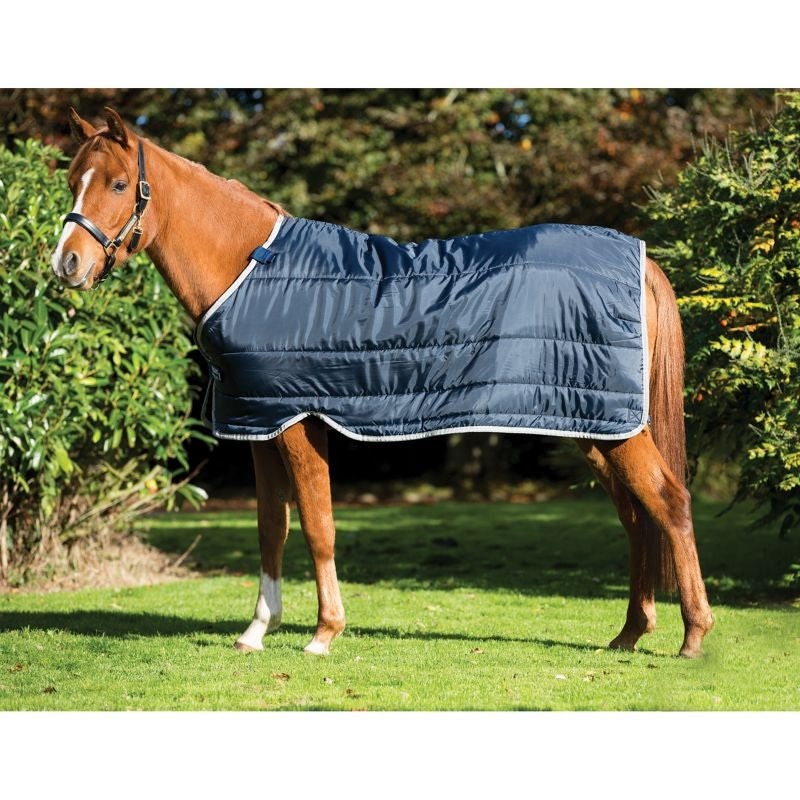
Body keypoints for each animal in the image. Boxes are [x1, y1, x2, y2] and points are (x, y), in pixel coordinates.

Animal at [50, 107, 714, 658]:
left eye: (117, 185)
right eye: (72, 180)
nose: (66, 264)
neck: (251, 269)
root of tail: (640, 261)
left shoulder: (298, 422)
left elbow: (317, 525)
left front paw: (324, 633)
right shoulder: (260, 423)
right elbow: (271, 529)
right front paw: (257, 631)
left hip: (614, 428)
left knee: (670, 503)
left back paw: (692, 637)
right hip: (591, 424)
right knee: (637, 516)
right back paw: (629, 633)